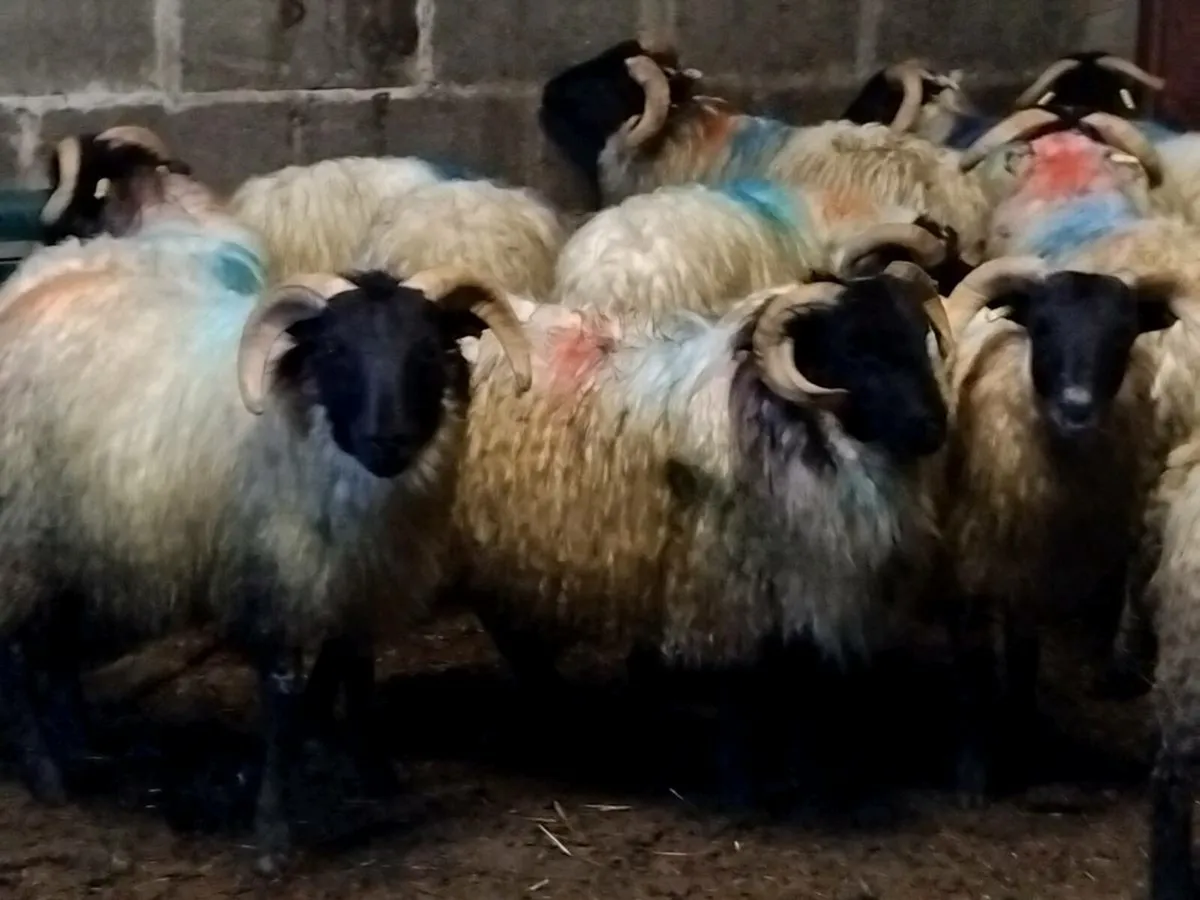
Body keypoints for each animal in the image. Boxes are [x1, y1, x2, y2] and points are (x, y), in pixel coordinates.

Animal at [0, 154, 534, 875]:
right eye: (335, 353)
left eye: (428, 351)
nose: (389, 439)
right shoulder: (273, 576)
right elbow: (281, 703)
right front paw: (274, 836)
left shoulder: (354, 576)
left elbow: (356, 674)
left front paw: (373, 776)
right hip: (19, 536)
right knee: (16, 654)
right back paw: (47, 774)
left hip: (71, 537)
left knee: (55, 647)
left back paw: (85, 748)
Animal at [931, 253, 1178, 805]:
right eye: (1041, 326)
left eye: (1124, 332)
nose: (1077, 406)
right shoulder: (967, 568)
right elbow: (973, 671)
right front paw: (972, 779)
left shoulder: (1034, 572)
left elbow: (1025, 663)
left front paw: (1023, 746)